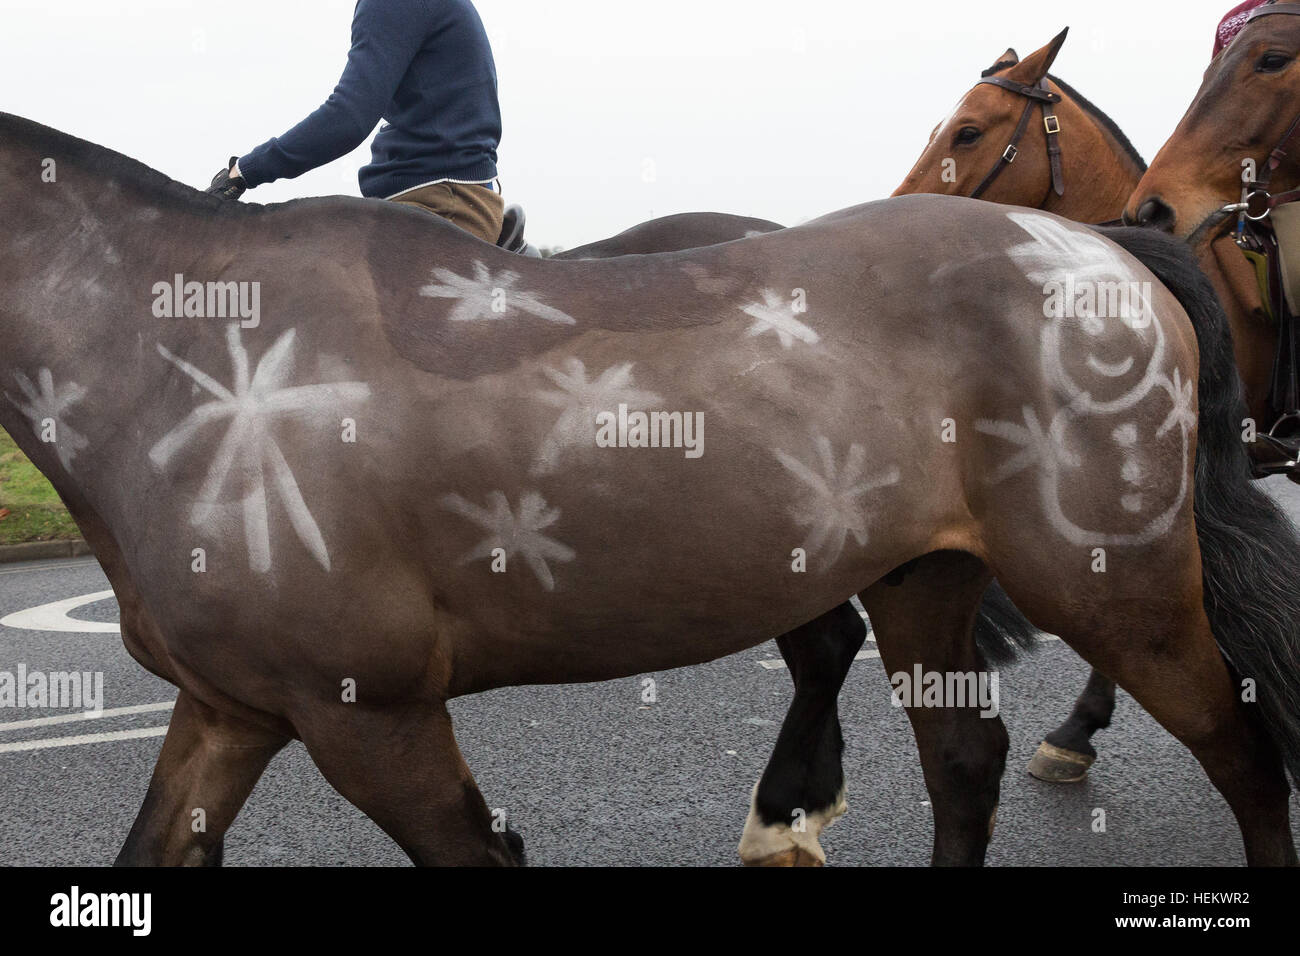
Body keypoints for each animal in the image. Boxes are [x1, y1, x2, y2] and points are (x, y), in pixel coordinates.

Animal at [2, 111, 1300, 868]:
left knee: (1239, 745)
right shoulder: (233, 710)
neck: (180, 344)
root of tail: (1104, 247)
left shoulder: (370, 716)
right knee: (961, 758)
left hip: (1116, 583)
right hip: (920, 575)